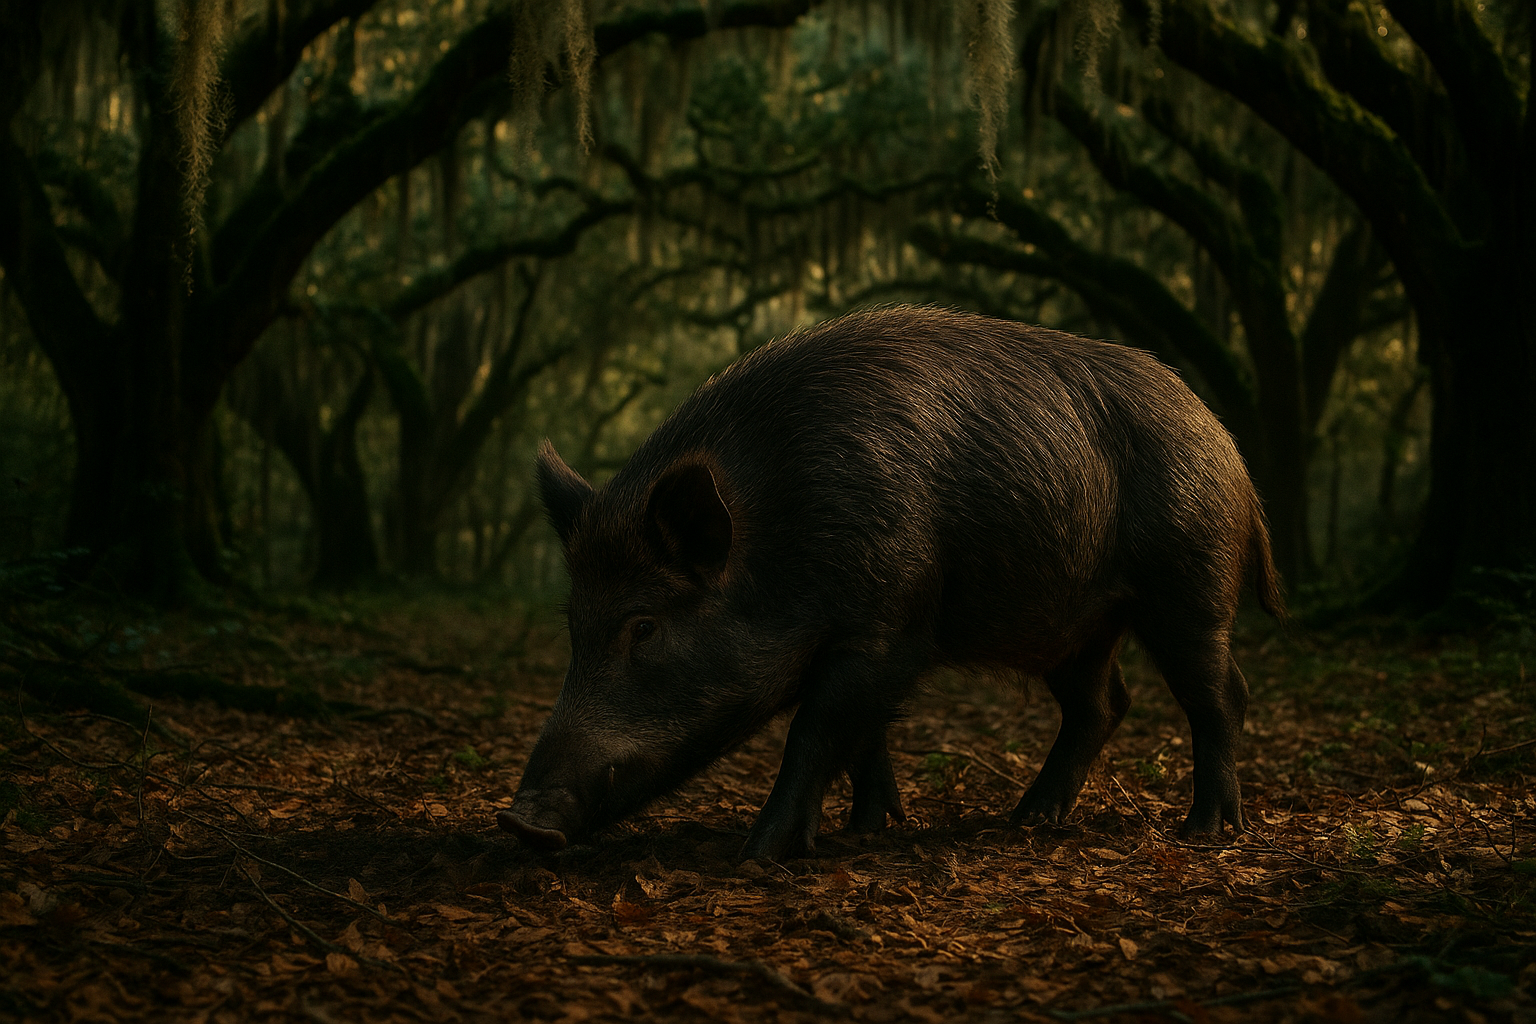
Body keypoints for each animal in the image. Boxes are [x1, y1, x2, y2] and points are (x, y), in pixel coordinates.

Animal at [498, 305, 1283, 861]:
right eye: (575, 627)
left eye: (644, 625)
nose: (521, 820)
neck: (782, 528)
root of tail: (1235, 455)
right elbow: (861, 734)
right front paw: (868, 828)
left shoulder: (889, 625)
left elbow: (817, 728)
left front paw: (759, 854)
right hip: (1076, 626)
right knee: (1103, 702)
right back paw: (1029, 819)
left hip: (1188, 582)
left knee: (1222, 691)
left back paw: (1205, 831)